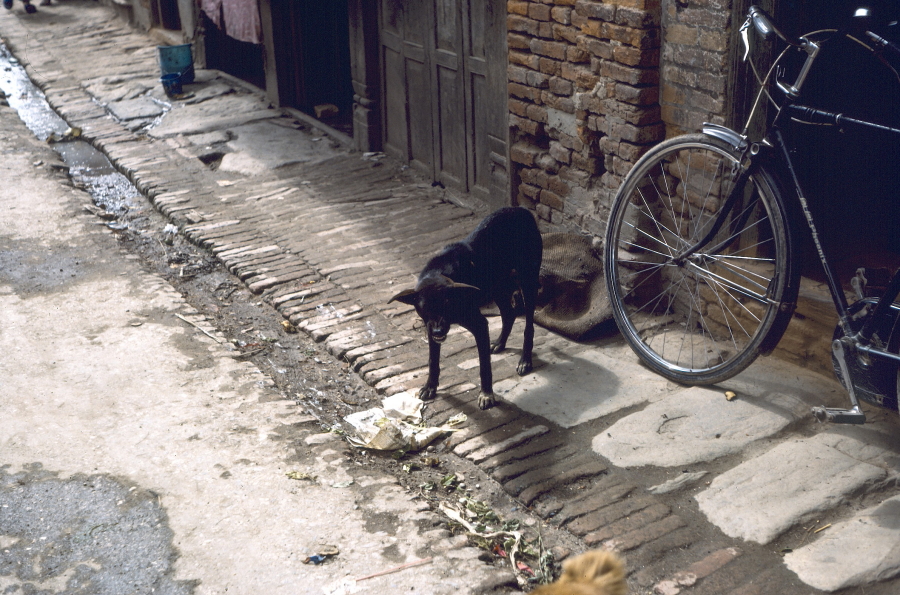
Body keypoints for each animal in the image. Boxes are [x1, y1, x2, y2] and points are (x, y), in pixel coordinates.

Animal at [386, 206, 540, 410]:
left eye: (447, 304)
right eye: (424, 308)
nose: (438, 331)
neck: (439, 273)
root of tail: (521, 209)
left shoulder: (479, 325)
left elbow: (484, 366)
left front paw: (486, 394)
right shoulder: (429, 327)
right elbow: (432, 360)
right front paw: (430, 386)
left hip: (528, 281)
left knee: (528, 325)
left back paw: (525, 360)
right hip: (497, 286)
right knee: (509, 313)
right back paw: (500, 342)